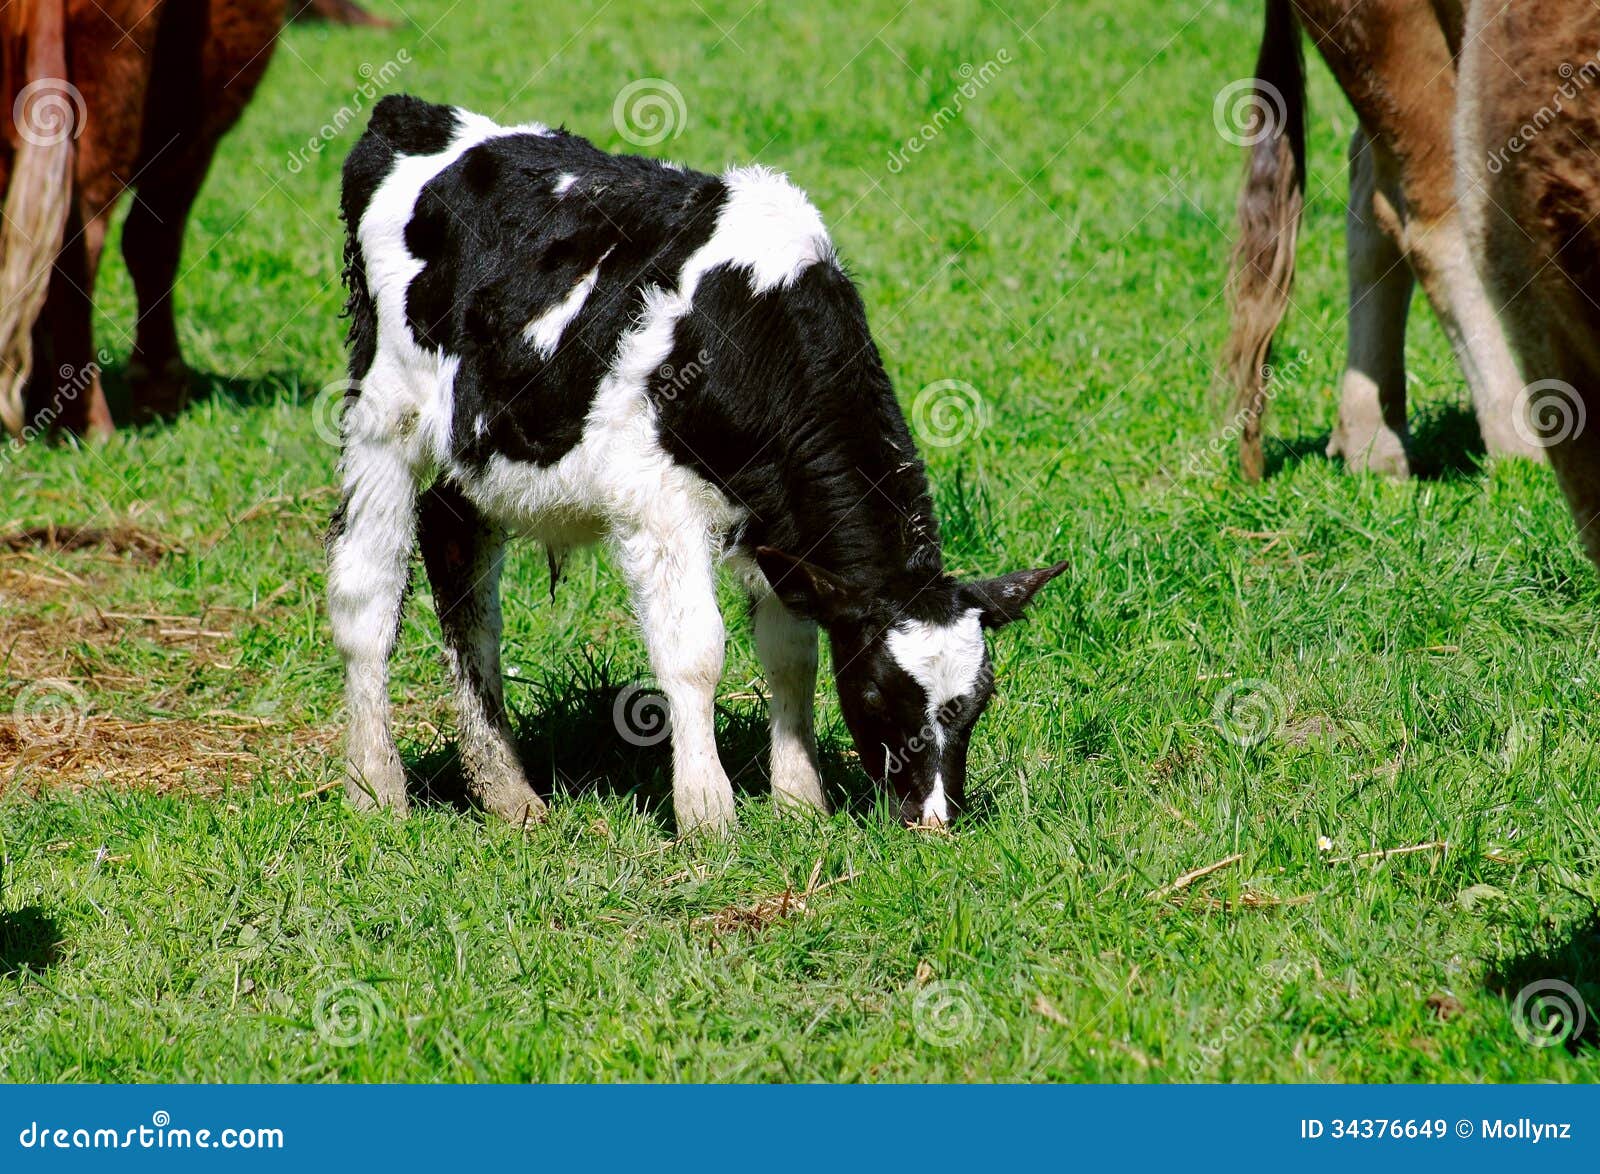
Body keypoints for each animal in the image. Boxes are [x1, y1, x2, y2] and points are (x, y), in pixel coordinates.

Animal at [329, 95, 1066, 834]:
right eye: (882, 694)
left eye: (977, 702)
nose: (934, 819)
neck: (749, 326)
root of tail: (412, 114)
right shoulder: (659, 502)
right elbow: (696, 655)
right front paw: (709, 813)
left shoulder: (779, 527)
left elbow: (791, 656)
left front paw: (800, 801)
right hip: (384, 414)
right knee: (365, 594)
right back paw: (375, 789)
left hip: (482, 452)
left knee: (457, 556)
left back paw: (509, 792)